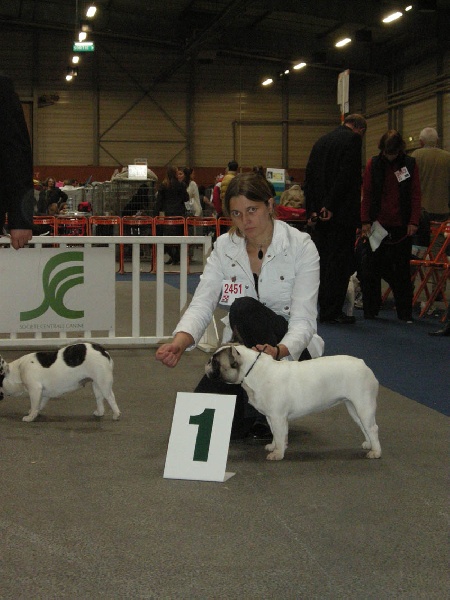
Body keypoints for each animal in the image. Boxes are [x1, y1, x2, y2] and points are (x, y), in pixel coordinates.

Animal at [205, 344, 381, 461]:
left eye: (216, 362)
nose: (207, 362)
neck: (252, 371)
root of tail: (363, 364)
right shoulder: (272, 417)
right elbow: (276, 434)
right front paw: (275, 446)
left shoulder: (278, 417)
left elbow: (279, 434)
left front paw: (278, 454)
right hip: (353, 407)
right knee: (364, 426)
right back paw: (369, 444)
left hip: (363, 404)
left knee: (372, 427)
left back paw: (376, 452)